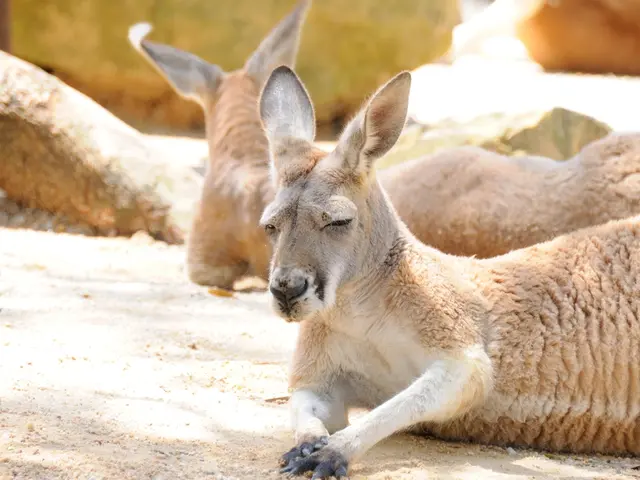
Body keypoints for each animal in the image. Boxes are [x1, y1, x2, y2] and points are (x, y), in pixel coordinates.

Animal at [257, 65, 640, 479]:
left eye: (339, 221)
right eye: (270, 226)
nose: (286, 291)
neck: (357, 310)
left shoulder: (455, 335)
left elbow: (431, 392)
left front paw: (333, 451)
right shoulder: (321, 370)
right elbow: (306, 403)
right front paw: (307, 444)